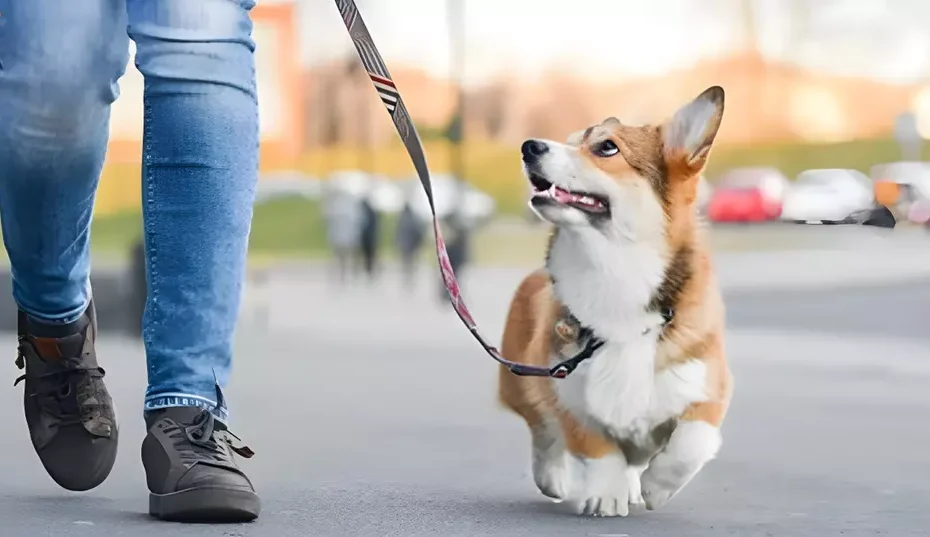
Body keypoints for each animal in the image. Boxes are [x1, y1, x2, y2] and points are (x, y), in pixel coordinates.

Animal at [496, 87, 728, 516]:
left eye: (607, 147)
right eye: (571, 141)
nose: (529, 146)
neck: (614, 272)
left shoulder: (707, 390)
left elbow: (691, 442)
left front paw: (656, 487)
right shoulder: (568, 392)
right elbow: (598, 449)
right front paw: (606, 494)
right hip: (520, 382)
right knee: (542, 430)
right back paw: (553, 477)